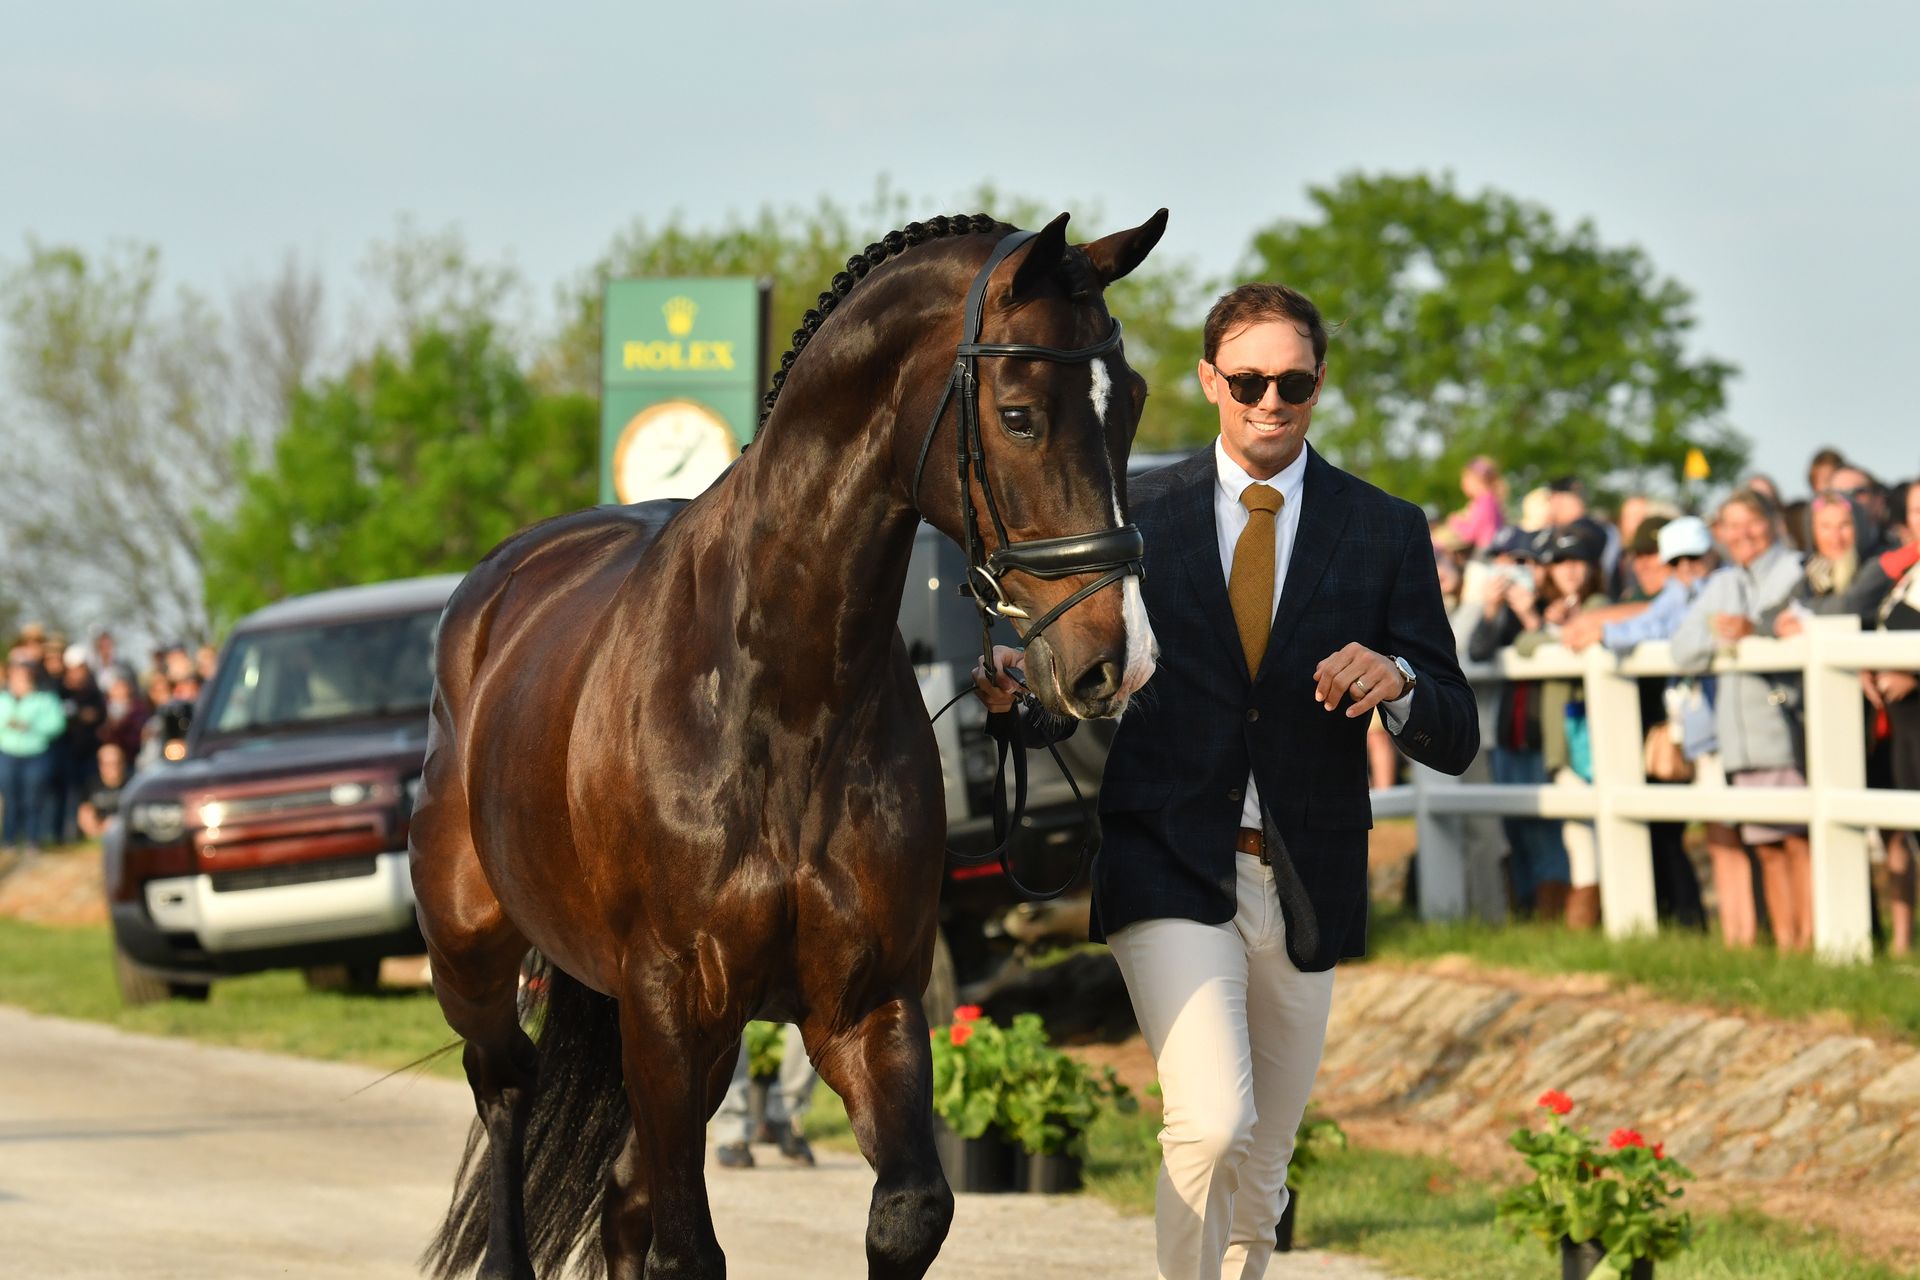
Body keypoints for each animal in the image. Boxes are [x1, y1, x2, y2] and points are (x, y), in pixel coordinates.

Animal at [416, 210, 1167, 1280]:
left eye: (1130, 403)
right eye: (1021, 415)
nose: (1117, 660)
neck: (783, 699)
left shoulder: (866, 1004)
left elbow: (908, 1212)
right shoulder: (668, 1007)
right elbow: (690, 1250)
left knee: (620, 1195)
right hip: (479, 965)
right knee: (511, 1098)